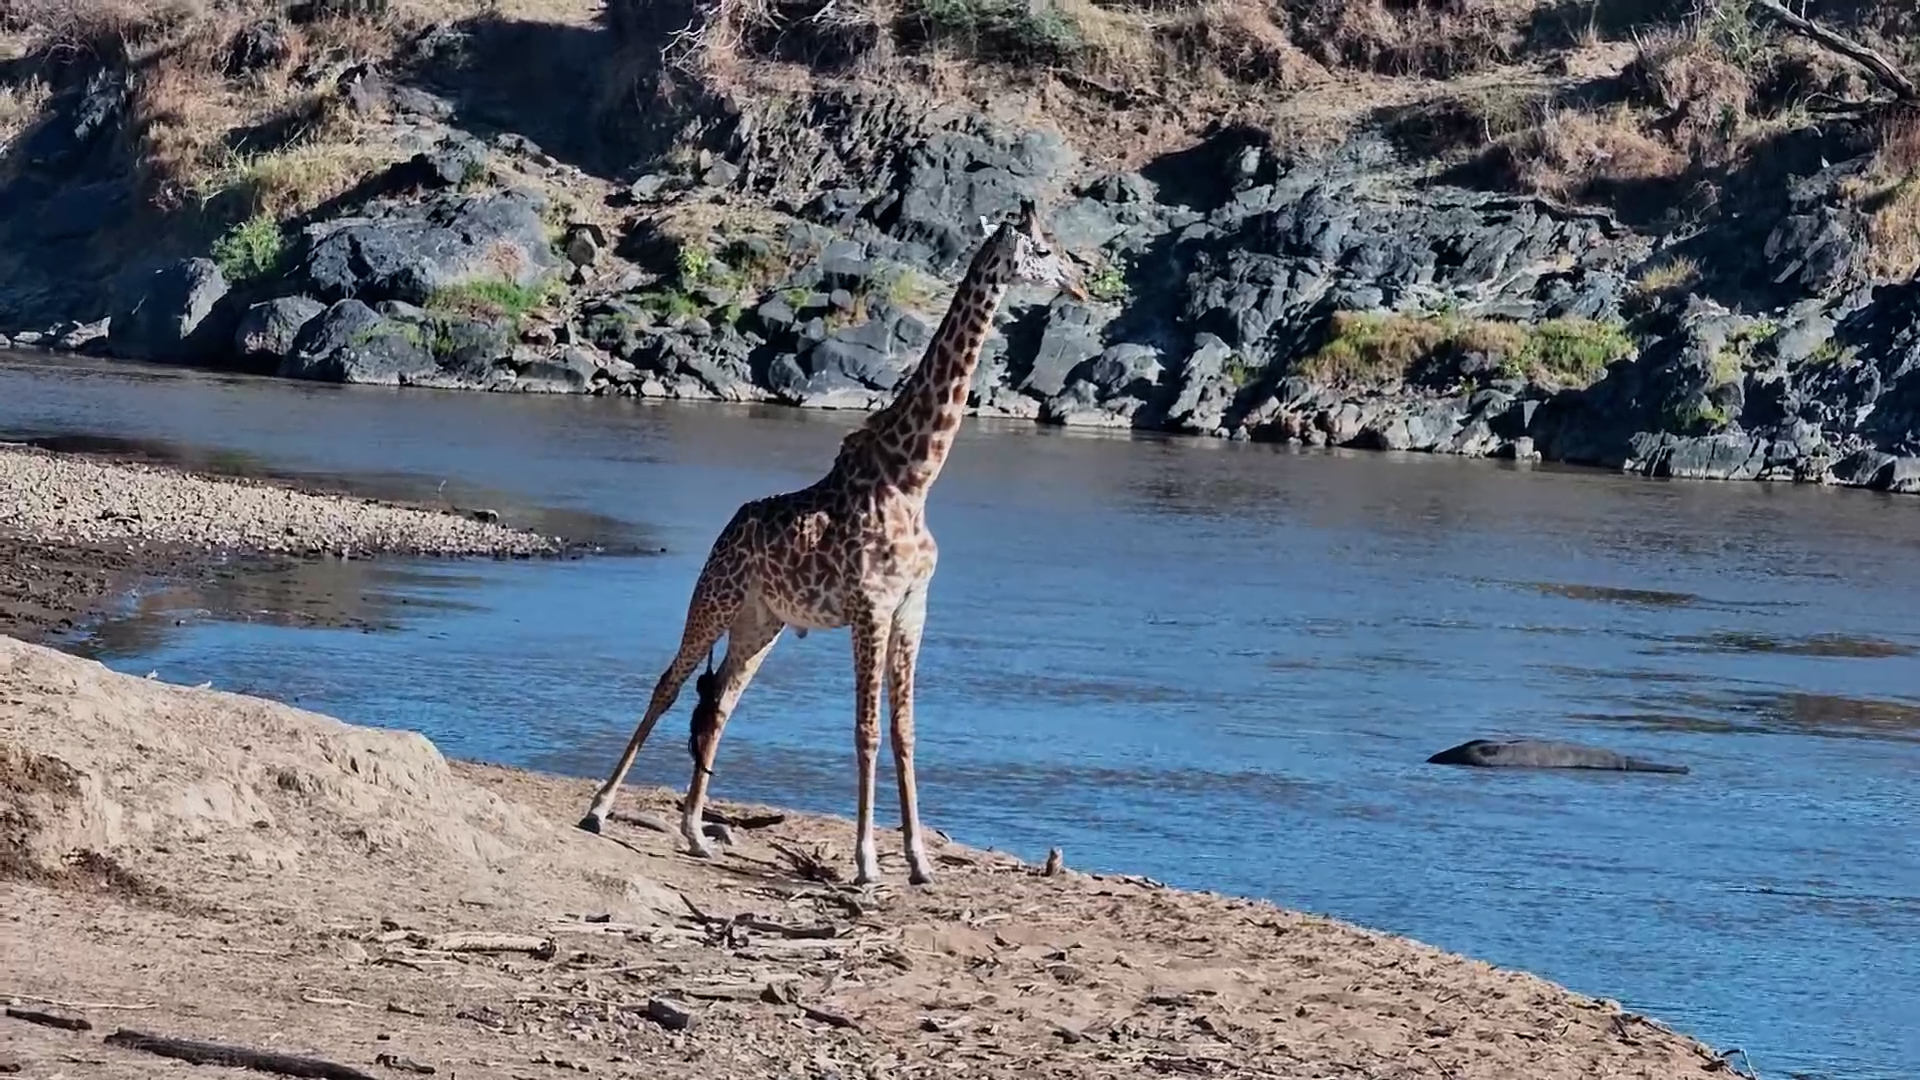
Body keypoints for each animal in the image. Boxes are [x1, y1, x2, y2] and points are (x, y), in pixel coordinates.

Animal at [576, 199, 1087, 886]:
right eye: (1043, 249)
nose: (1078, 286)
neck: (913, 478)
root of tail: (727, 528)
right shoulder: (870, 607)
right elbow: (865, 729)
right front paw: (868, 862)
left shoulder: (912, 609)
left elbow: (904, 731)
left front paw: (921, 862)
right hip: (713, 598)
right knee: (668, 685)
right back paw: (600, 809)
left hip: (758, 622)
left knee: (720, 705)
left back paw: (696, 834)